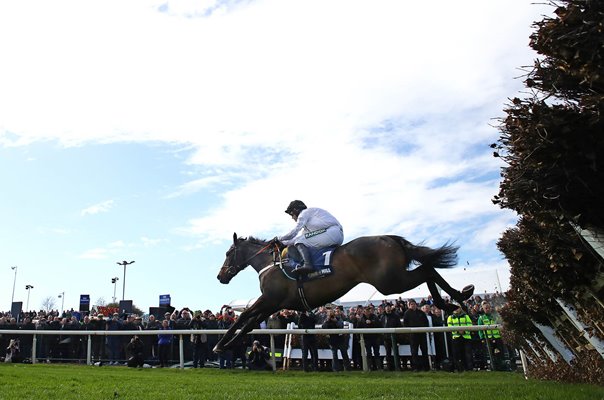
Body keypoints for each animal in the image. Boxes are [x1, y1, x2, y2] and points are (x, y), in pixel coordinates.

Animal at [215, 233, 474, 352]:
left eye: (228, 253)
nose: (220, 276)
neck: (271, 264)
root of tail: (389, 238)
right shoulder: (274, 304)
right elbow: (249, 323)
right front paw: (228, 344)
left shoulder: (269, 299)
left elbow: (243, 315)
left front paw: (221, 344)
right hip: (393, 280)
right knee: (428, 270)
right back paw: (457, 299)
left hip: (390, 282)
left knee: (427, 271)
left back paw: (457, 299)